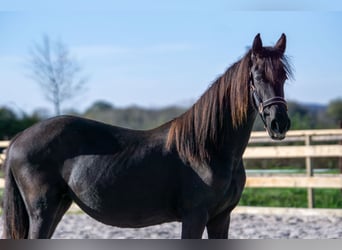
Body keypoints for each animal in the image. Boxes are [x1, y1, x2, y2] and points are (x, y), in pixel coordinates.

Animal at [2, 33, 292, 238]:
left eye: (284, 77)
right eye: (256, 76)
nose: (279, 123)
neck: (209, 151)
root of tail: (18, 139)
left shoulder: (221, 218)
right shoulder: (194, 217)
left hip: (58, 206)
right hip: (42, 211)